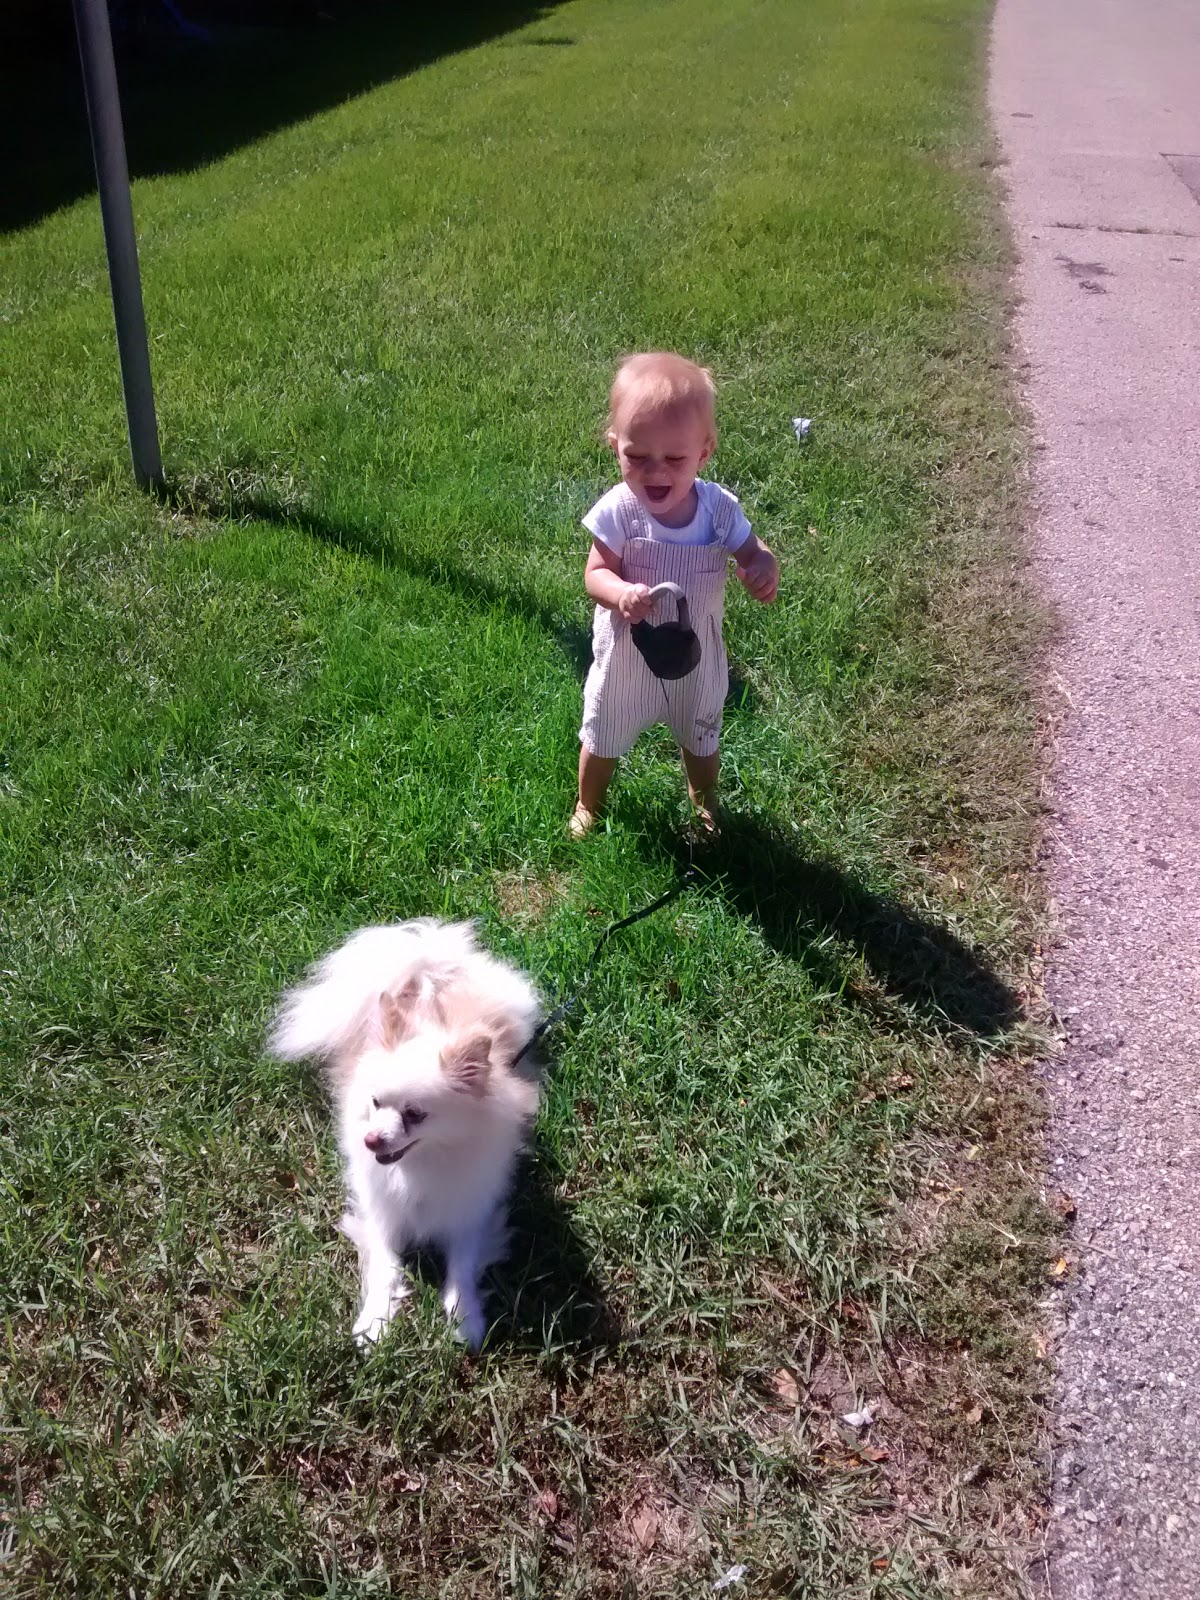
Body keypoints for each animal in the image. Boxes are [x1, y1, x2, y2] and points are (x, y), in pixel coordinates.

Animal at [270, 919, 542, 1350]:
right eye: (375, 1102)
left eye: (415, 1115)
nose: (371, 1140)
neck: (419, 1165)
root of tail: (429, 970)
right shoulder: (381, 1209)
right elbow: (384, 1265)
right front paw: (374, 1320)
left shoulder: (471, 1214)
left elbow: (462, 1266)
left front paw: (466, 1317)